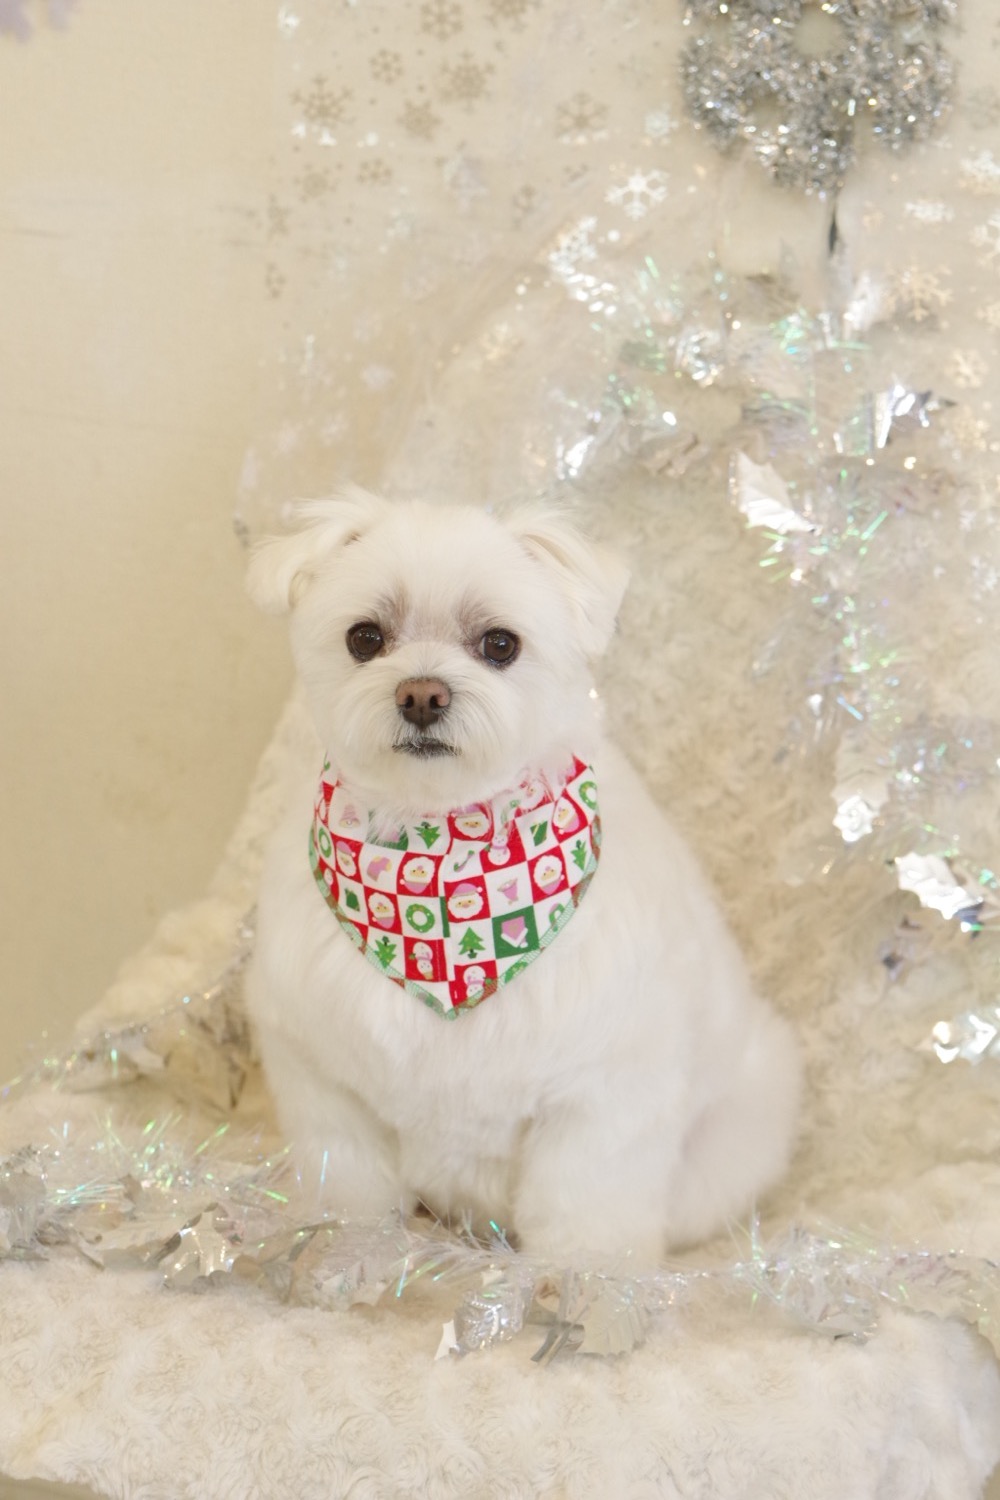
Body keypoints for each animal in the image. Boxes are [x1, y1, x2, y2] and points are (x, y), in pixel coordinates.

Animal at [245, 487, 799, 1265]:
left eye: (500, 644)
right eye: (365, 637)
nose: (422, 695)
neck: (442, 857)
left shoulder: (604, 1094)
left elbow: (585, 1211)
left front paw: (584, 1278)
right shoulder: (322, 1080)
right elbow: (350, 1193)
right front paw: (349, 1250)